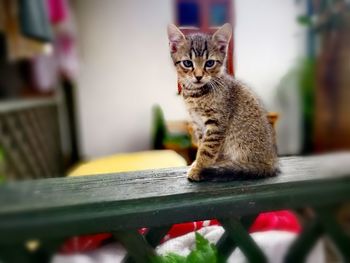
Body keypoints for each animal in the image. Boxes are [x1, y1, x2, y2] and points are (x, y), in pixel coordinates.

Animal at [167, 23, 278, 183]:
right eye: (187, 63)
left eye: (210, 63)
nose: (198, 76)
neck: (196, 94)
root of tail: (271, 163)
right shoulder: (198, 125)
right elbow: (201, 146)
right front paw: (197, 164)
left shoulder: (216, 124)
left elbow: (207, 150)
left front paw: (198, 168)